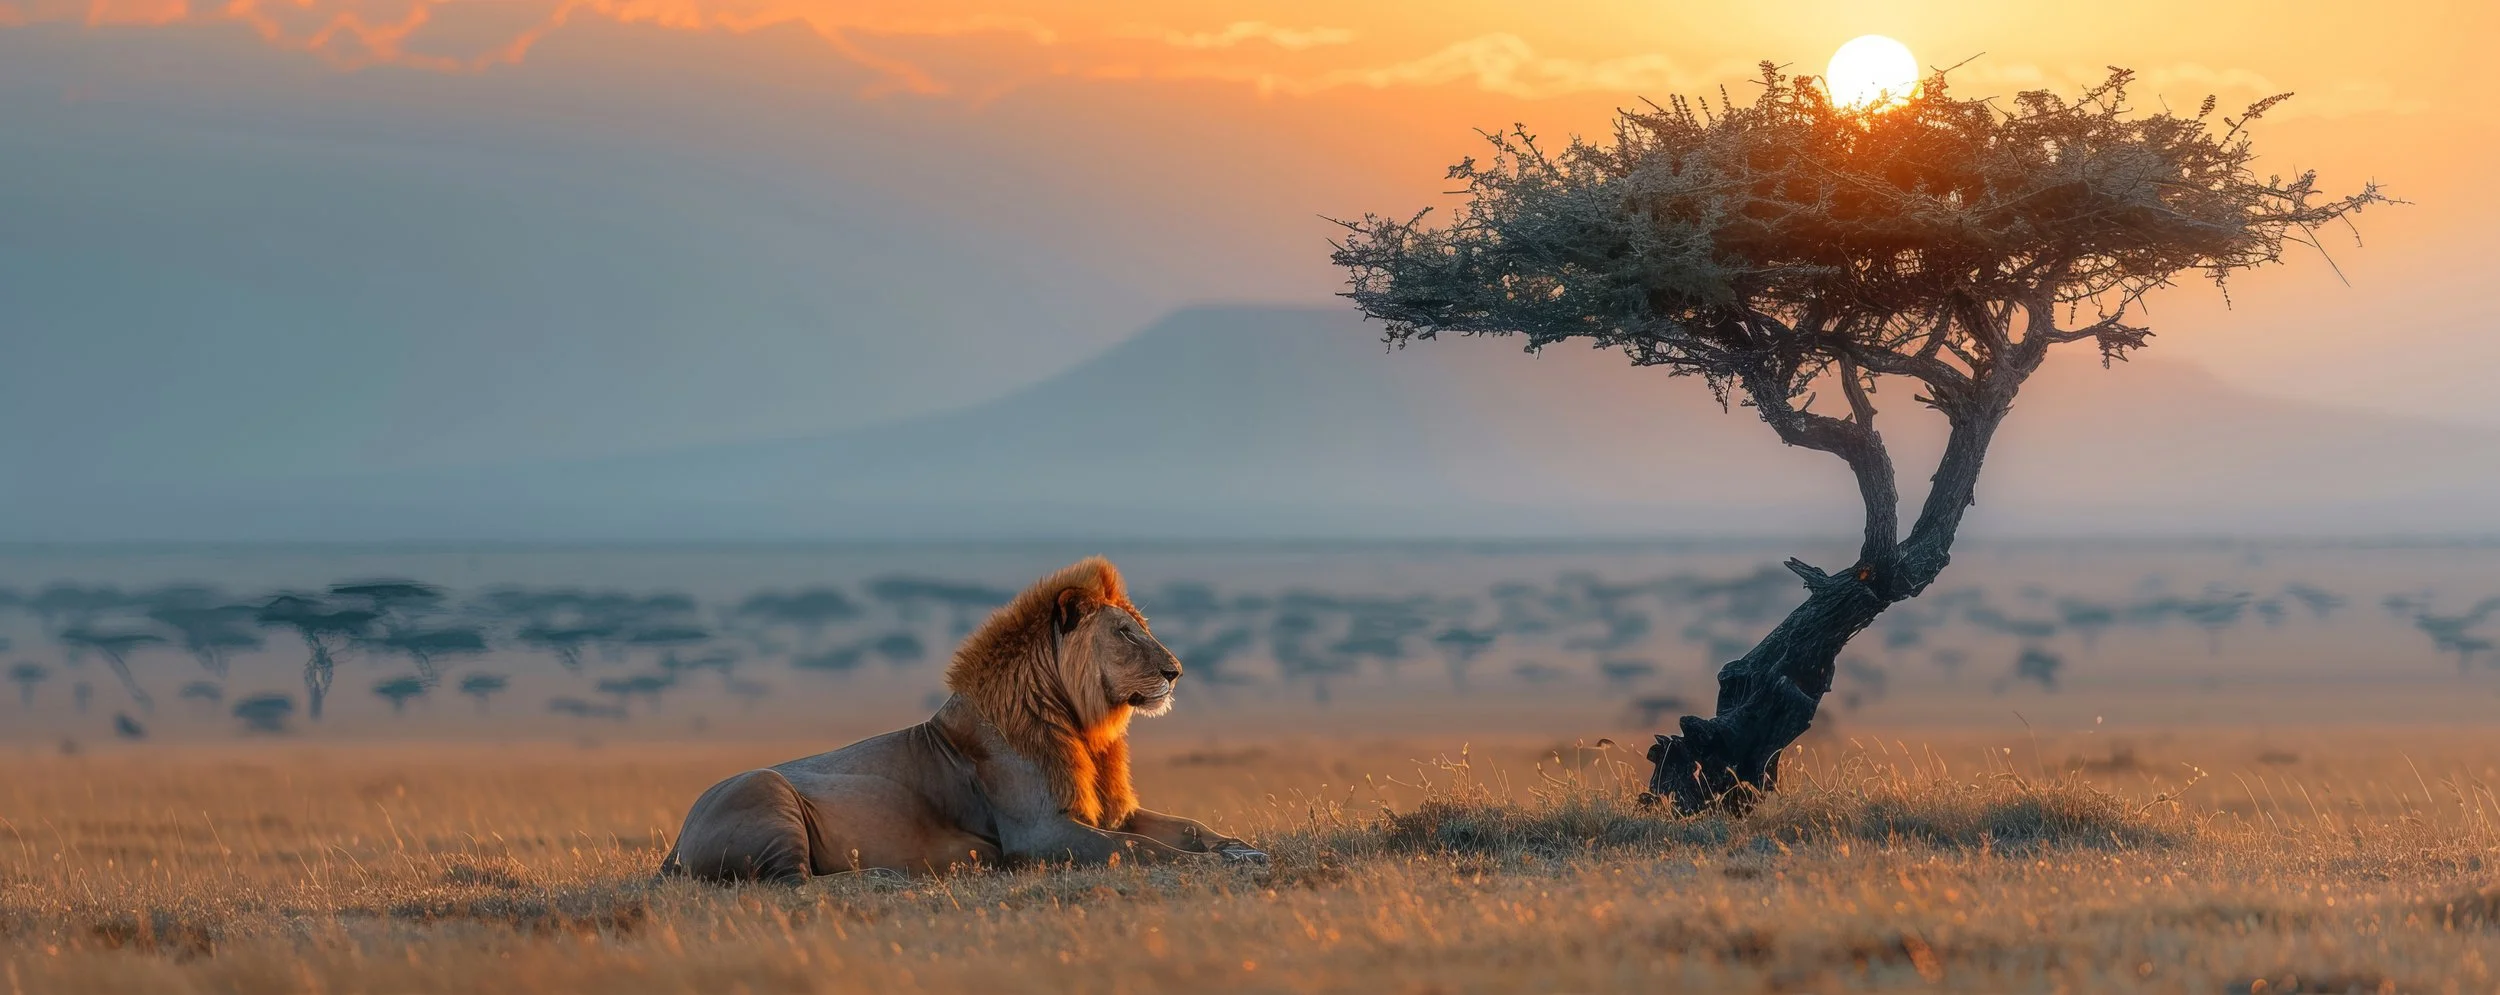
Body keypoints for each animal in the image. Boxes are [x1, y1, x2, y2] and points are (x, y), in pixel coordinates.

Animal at [660, 557, 1265, 882]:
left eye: (1142, 627)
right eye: (1124, 633)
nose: (1176, 671)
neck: (1086, 729)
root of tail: (675, 844)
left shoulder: (1114, 812)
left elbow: (1186, 827)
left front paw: (1241, 847)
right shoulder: (1039, 834)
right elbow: (1141, 850)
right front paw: (1214, 865)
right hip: (766, 793)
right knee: (795, 883)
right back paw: (884, 875)